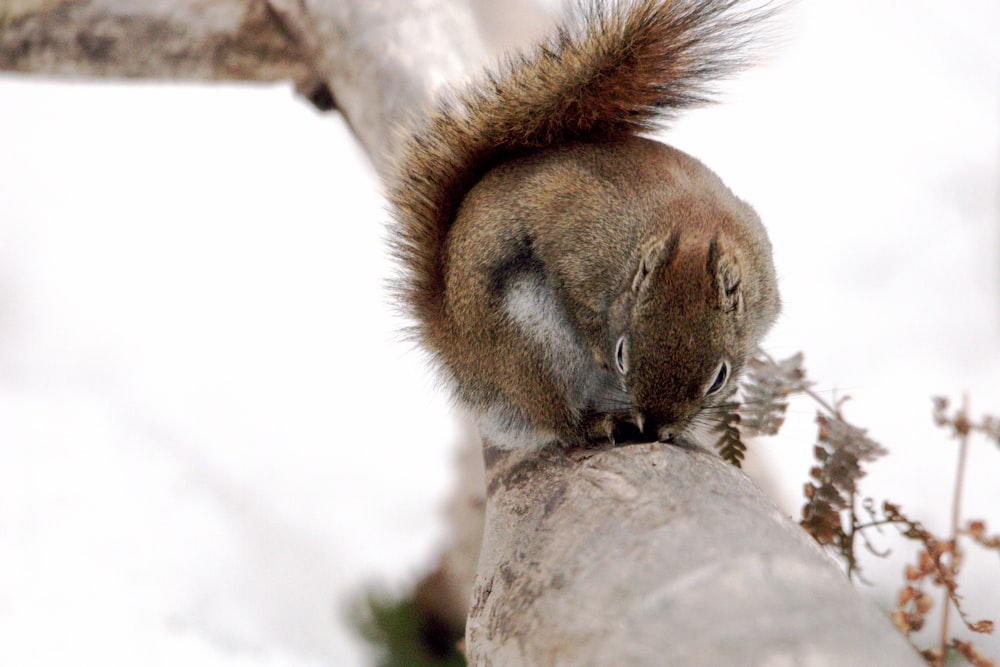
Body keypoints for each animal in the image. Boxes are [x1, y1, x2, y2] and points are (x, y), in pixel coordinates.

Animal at [388, 0, 780, 452]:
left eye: (720, 378)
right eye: (621, 354)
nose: (654, 429)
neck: (692, 223)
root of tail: (456, 346)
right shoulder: (576, 238)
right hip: (533, 345)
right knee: (560, 422)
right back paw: (597, 424)